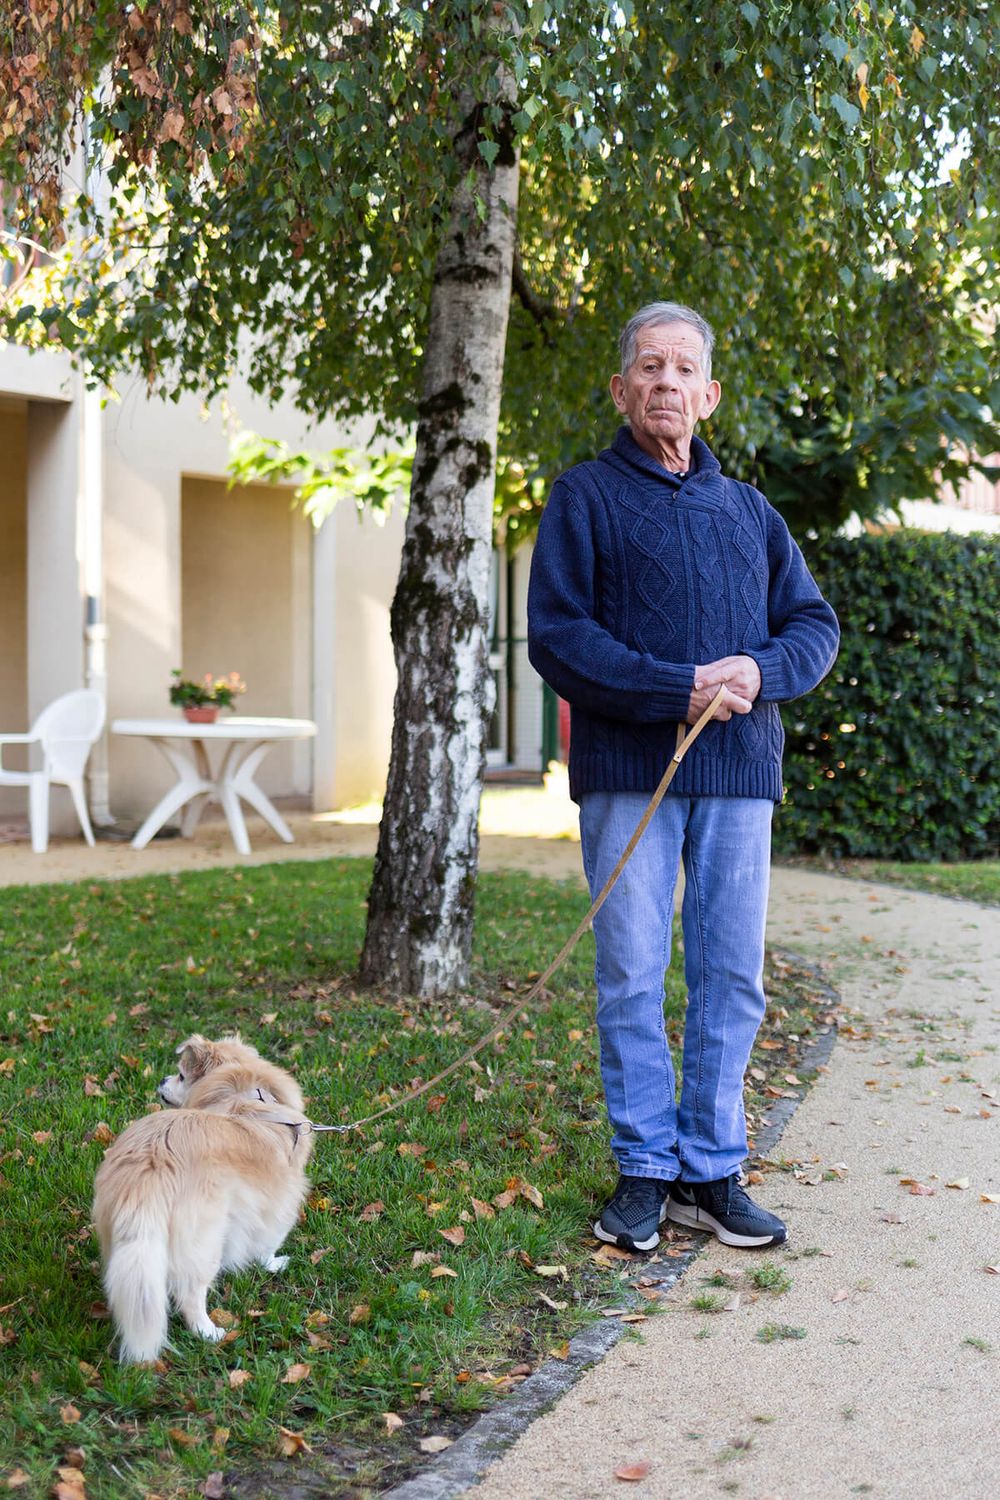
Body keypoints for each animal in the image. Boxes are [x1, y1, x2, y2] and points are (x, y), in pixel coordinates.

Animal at [94, 1038, 314, 1368]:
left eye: (180, 1076)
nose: (161, 1079)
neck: (246, 1096)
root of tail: (152, 1166)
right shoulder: (279, 1200)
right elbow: (268, 1243)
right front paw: (274, 1264)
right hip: (207, 1241)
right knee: (191, 1294)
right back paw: (208, 1332)